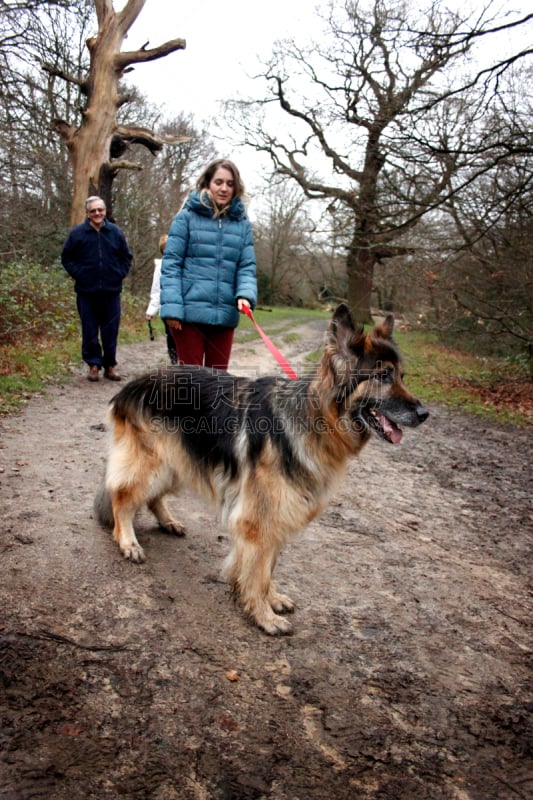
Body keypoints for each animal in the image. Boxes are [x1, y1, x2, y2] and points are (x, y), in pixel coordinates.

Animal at [94, 304, 428, 636]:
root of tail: (135, 383)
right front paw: (263, 615)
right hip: (151, 465)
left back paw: (168, 522)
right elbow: (256, 571)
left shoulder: (279, 513)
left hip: (178, 463)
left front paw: (272, 599)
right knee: (121, 498)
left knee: (152, 497)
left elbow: (267, 569)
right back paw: (128, 541)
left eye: (401, 376)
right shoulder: (258, 519)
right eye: (383, 376)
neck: (315, 418)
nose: (424, 414)